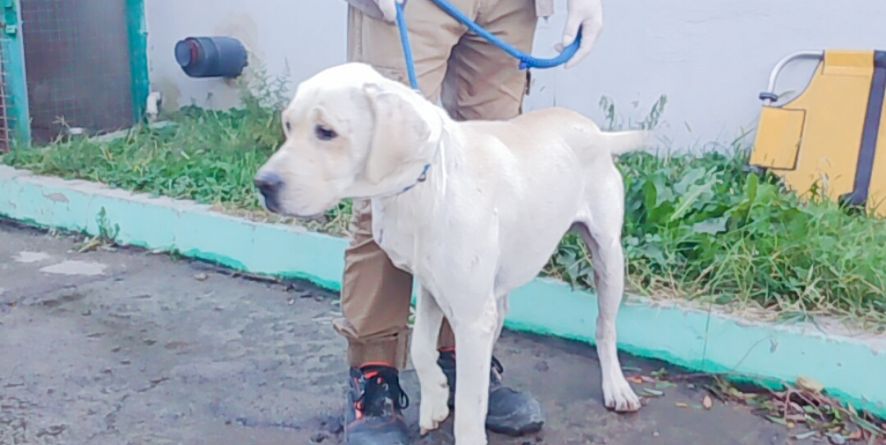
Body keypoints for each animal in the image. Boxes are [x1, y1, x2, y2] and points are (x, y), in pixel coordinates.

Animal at [256, 63, 644, 444]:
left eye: (326, 132)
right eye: (288, 125)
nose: (262, 185)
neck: (424, 183)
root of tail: (594, 130)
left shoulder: (471, 315)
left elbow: (471, 407)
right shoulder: (431, 286)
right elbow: (421, 347)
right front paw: (436, 400)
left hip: (609, 257)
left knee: (605, 327)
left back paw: (616, 387)